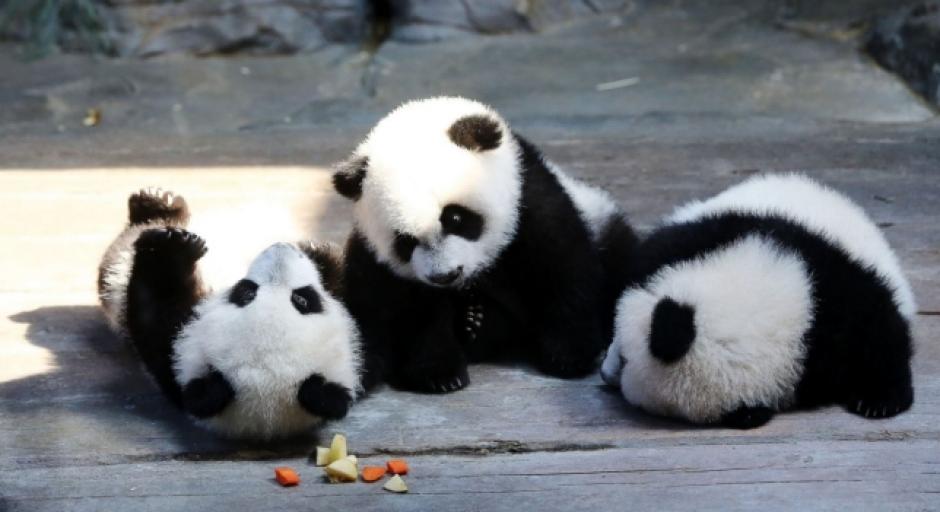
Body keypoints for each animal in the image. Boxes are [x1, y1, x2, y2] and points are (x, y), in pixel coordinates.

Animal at [98, 188, 361, 439]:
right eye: (245, 292)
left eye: (303, 300)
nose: (280, 247)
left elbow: (155, 308)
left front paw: (170, 251)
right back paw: (157, 201)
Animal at [332, 97, 637, 393]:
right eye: (405, 241)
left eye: (454, 218)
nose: (445, 275)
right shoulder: (377, 261)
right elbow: (411, 311)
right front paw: (439, 373)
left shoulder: (527, 199)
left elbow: (562, 263)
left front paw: (569, 355)